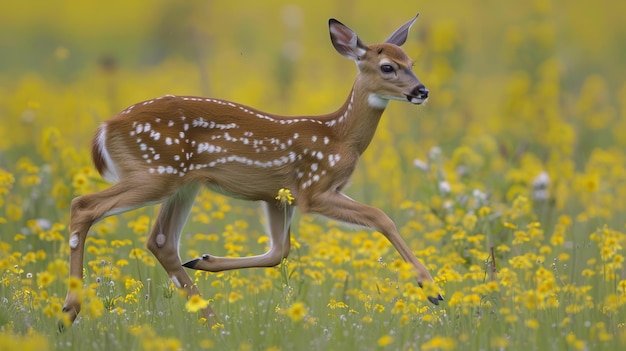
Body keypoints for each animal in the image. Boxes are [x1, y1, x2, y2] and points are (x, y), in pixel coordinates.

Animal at [58, 13, 438, 328]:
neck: (340, 136)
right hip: (155, 172)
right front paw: (430, 287)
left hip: (184, 183)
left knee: (161, 241)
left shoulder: (277, 197)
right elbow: (380, 216)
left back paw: (212, 317)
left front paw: (205, 259)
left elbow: (278, 252)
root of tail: (105, 128)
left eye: (412, 62)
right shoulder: (312, 189)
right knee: (84, 205)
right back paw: (69, 311)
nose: (421, 91)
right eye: (387, 67)